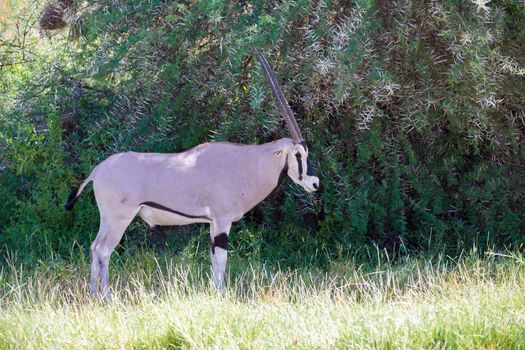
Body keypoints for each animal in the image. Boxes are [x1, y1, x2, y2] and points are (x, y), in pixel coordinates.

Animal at [65, 48, 320, 298]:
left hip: (107, 217)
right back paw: (107, 296)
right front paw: (222, 294)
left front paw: (216, 291)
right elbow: (221, 258)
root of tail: (98, 170)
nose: (315, 183)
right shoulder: (222, 220)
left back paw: (93, 294)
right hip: (119, 218)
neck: (247, 164)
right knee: (103, 250)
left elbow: (213, 258)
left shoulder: (212, 223)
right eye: (298, 154)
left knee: (94, 247)